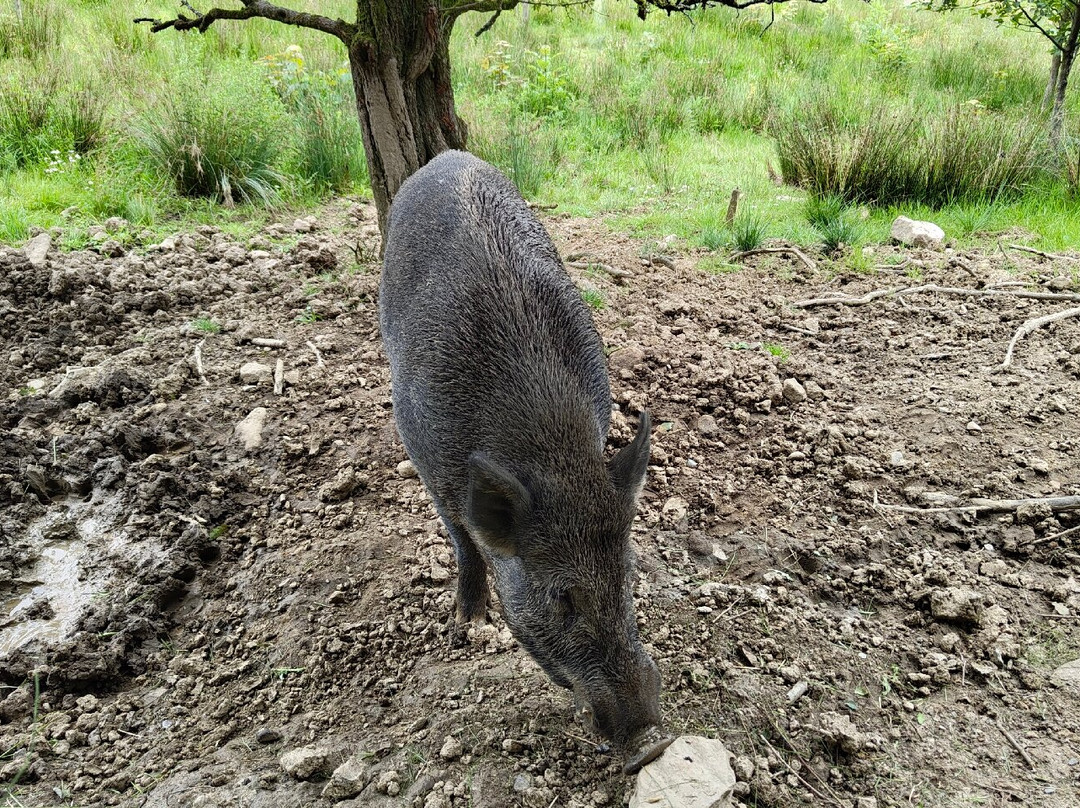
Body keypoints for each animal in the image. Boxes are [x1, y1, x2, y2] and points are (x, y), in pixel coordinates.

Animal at [379, 150, 660, 753]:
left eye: (627, 578)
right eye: (562, 598)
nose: (650, 731)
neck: (549, 450)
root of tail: (446, 156)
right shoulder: (424, 453)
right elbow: (462, 539)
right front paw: (469, 625)